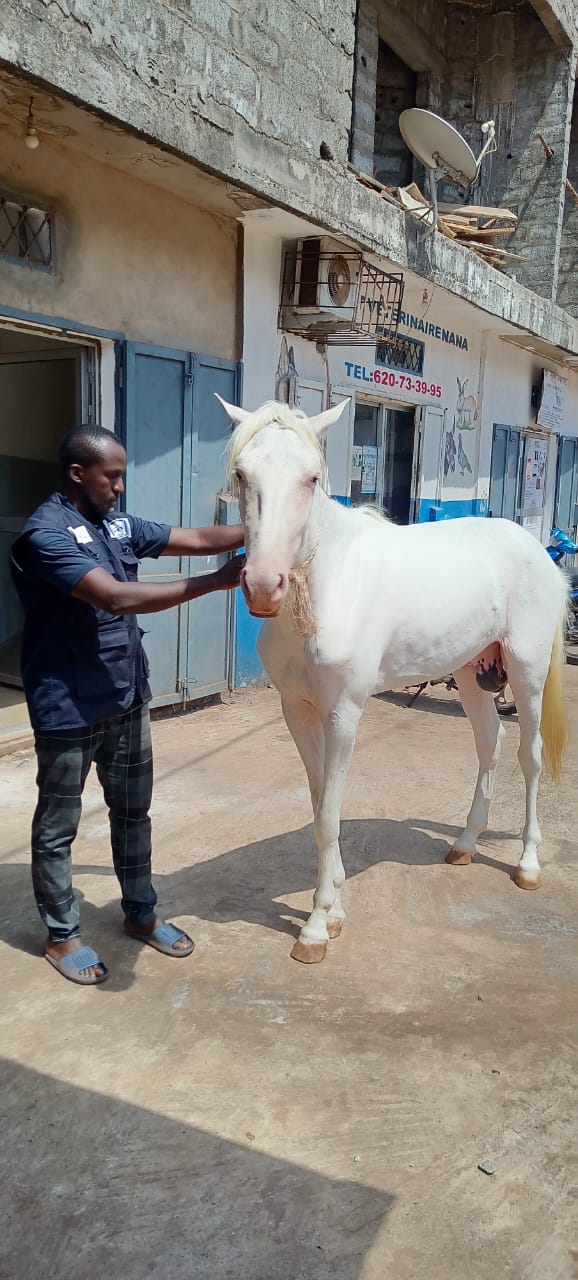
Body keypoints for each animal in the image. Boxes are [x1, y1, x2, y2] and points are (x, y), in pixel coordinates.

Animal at [218, 396, 568, 964]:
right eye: (243, 473)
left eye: (311, 477)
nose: (264, 587)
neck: (329, 588)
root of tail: (536, 548)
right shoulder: (297, 710)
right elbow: (320, 805)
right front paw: (334, 908)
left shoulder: (344, 714)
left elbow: (329, 813)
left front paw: (316, 926)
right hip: (470, 671)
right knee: (490, 743)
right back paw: (465, 845)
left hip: (526, 672)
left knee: (530, 757)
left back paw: (528, 864)